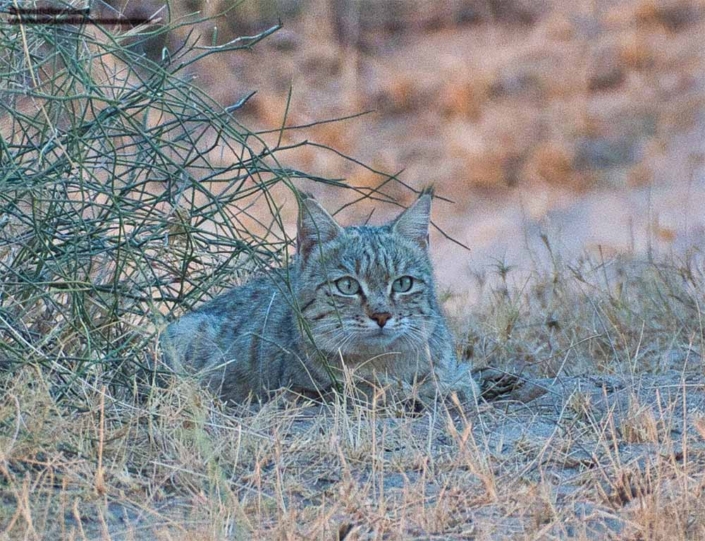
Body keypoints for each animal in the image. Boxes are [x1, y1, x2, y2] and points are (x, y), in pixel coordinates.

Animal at [160, 190, 478, 404]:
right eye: (347, 286)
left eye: (403, 283)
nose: (382, 316)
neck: (383, 360)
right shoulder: (303, 390)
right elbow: (375, 388)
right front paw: (421, 390)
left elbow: (456, 381)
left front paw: (445, 385)